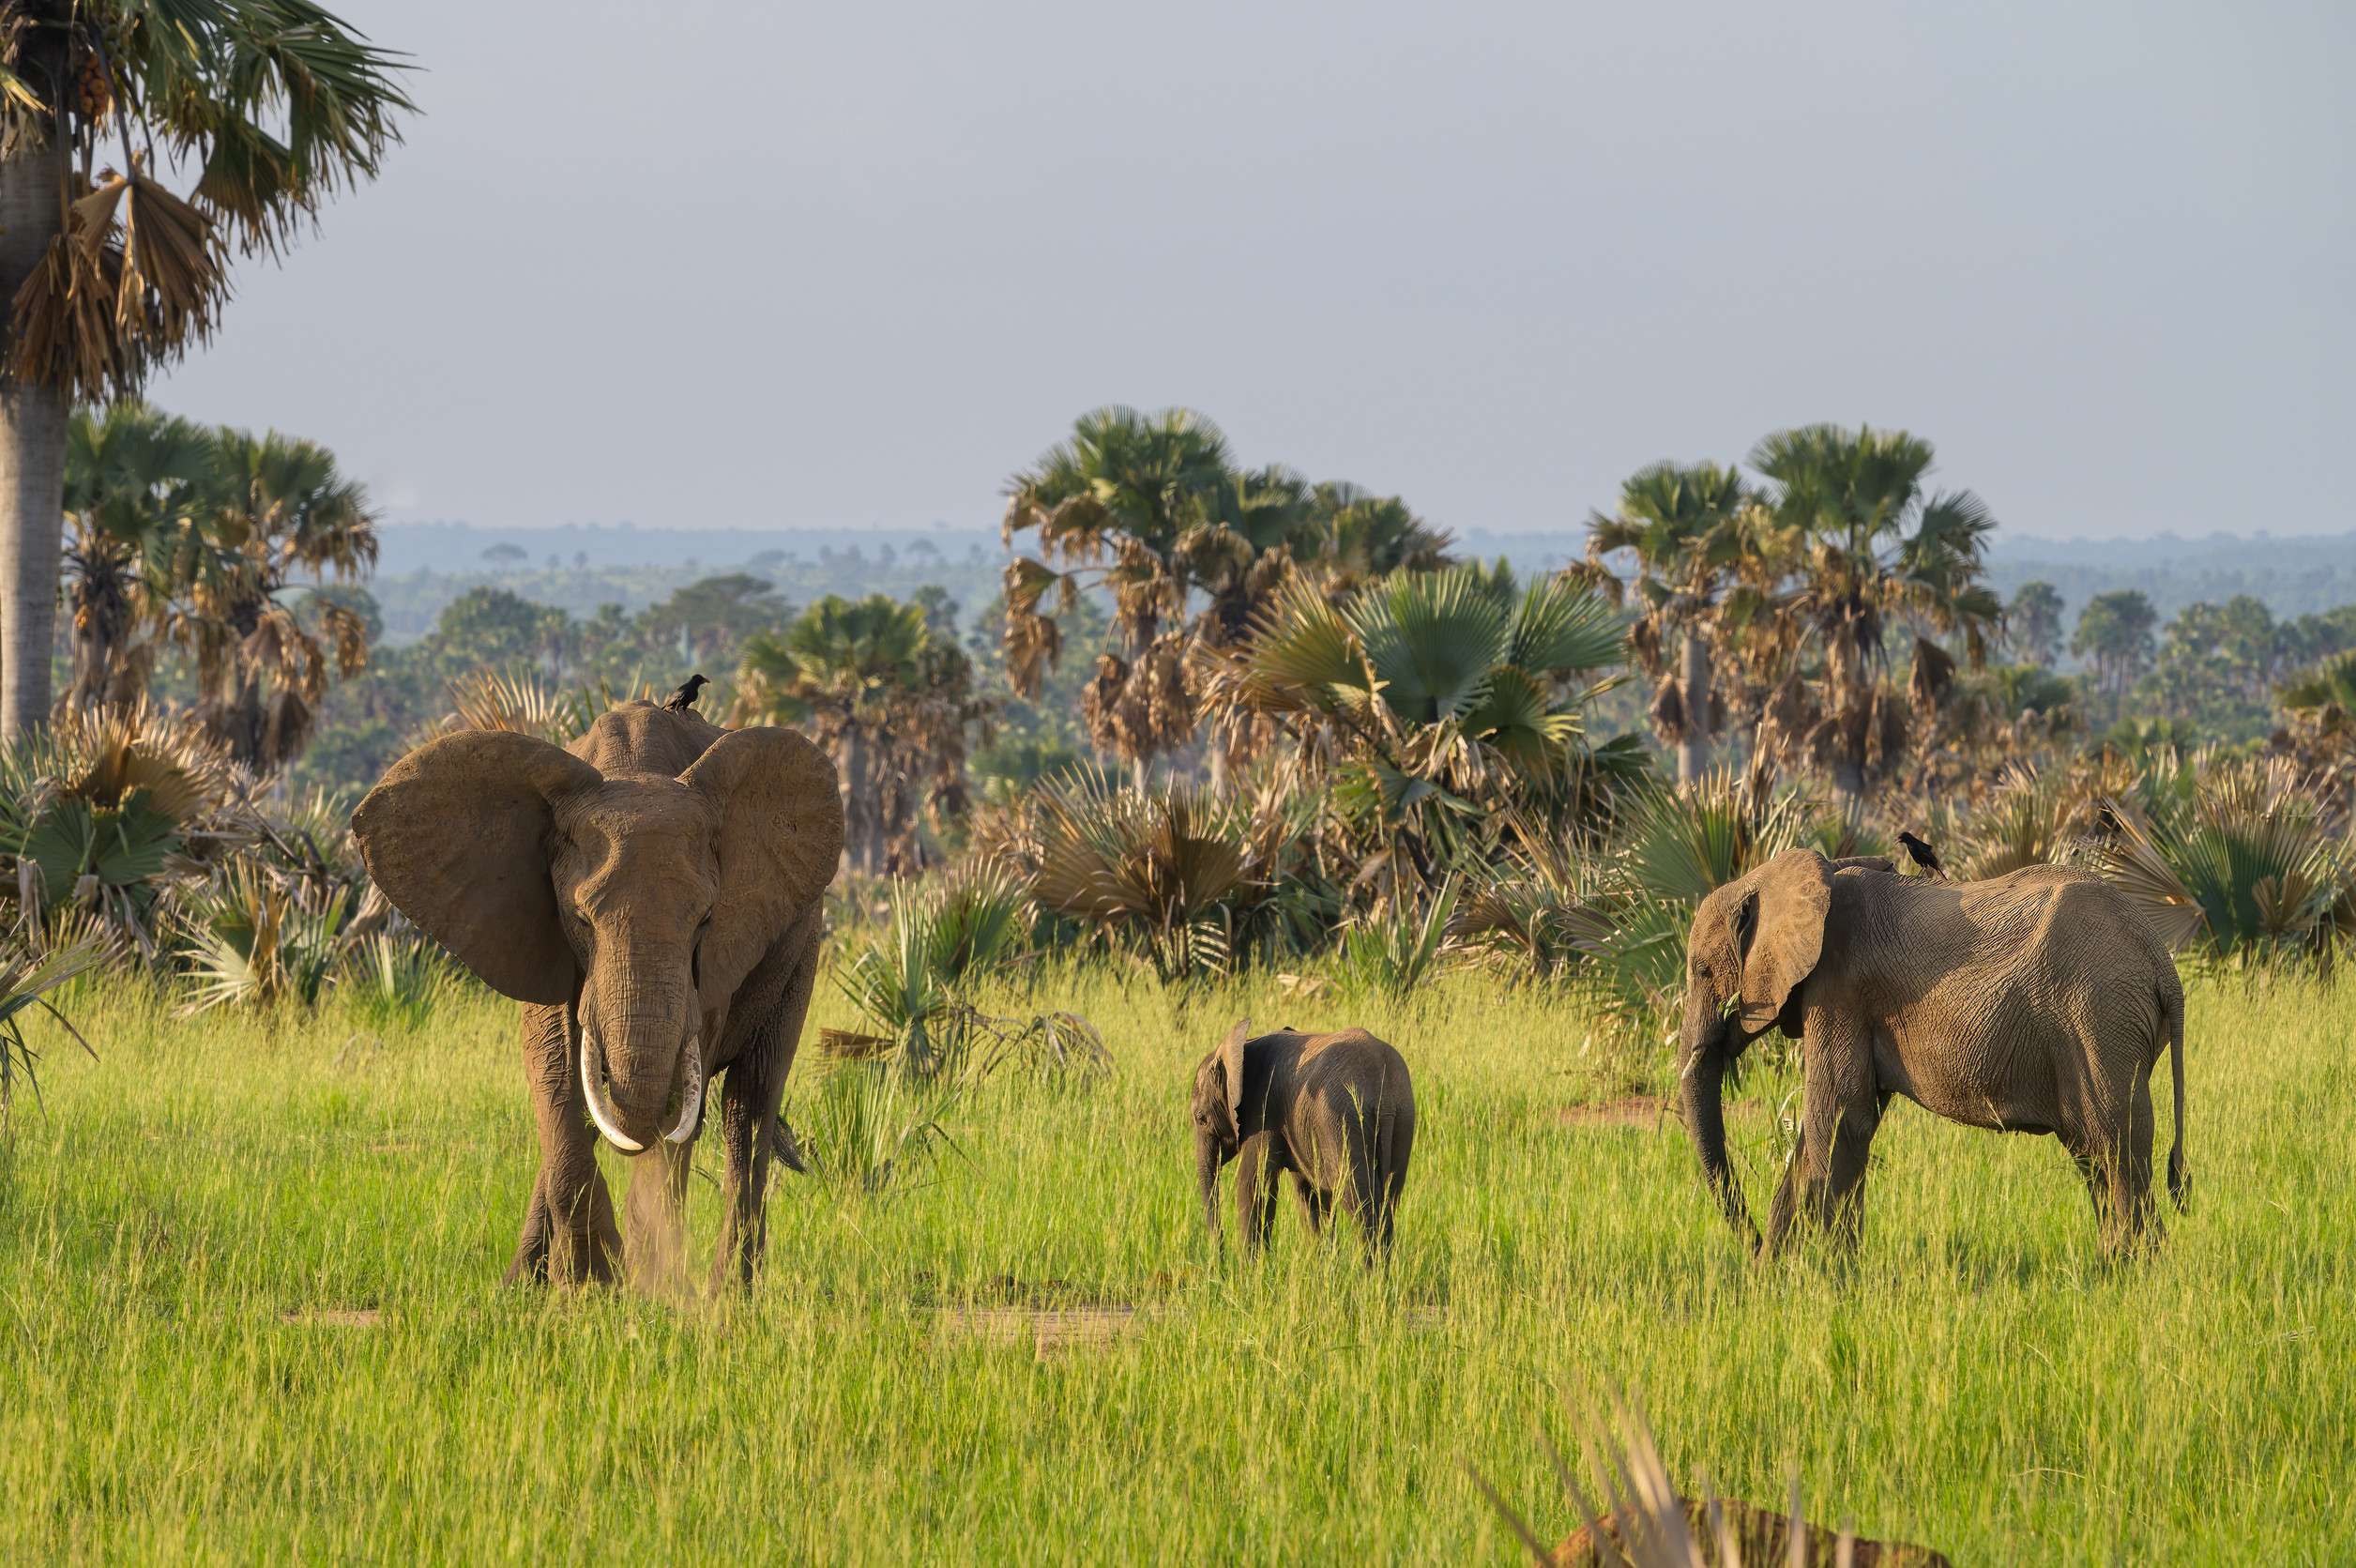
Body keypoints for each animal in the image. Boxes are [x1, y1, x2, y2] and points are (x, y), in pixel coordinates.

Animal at [351, 700, 842, 1286]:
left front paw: (650, 1285)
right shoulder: (535, 921)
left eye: (705, 920)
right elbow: (554, 1068)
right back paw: (526, 1284)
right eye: (581, 919)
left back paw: (728, 1293)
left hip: (801, 946)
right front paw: (593, 1285)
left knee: (751, 1099)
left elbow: (680, 1094)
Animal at [1189, 1020, 1416, 1260]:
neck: (1242, 1047)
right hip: (1402, 1120)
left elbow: (1253, 1184)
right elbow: (1310, 1194)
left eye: (1201, 1119)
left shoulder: (1263, 1112)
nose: (1220, 1262)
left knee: (1360, 1204)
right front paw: (1323, 1262)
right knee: (1389, 1201)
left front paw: (1251, 1267)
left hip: (1344, 1122)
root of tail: (1384, 1095)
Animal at [1676, 849, 2187, 1257]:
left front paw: (1816, 1278)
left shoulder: (1839, 990)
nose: (1752, 1242)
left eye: (1702, 972)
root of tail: (2163, 965)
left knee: (2115, 1145)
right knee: (2095, 1151)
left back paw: (2129, 1270)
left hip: (2100, 1018)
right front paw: (1782, 1276)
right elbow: (1842, 1127)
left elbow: (1838, 1120)